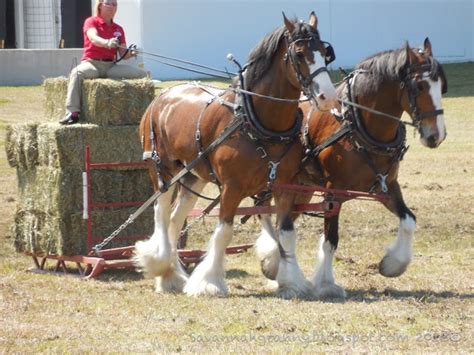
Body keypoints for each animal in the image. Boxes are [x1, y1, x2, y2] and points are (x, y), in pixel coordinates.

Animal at [134, 11, 336, 298]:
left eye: (324, 52)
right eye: (299, 54)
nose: (328, 96)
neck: (258, 122)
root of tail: (162, 96)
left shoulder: (284, 185)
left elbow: (286, 233)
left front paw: (291, 282)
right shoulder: (232, 187)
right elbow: (224, 232)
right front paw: (210, 282)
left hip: (193, 175)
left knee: (175, 218)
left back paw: (172, 275)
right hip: (162, 170)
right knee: (160, 212)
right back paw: (161, 266)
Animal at [258, 38, 446, 300]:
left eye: (442, 86)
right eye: (419, 86)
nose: (436, 135)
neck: (357, 122)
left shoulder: (387, 186)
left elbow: (409, 219)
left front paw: (392, 264)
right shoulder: (333, 192)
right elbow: (331, 238)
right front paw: (326, 285)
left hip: (302, 188)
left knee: (283, 219)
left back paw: (272, 264)